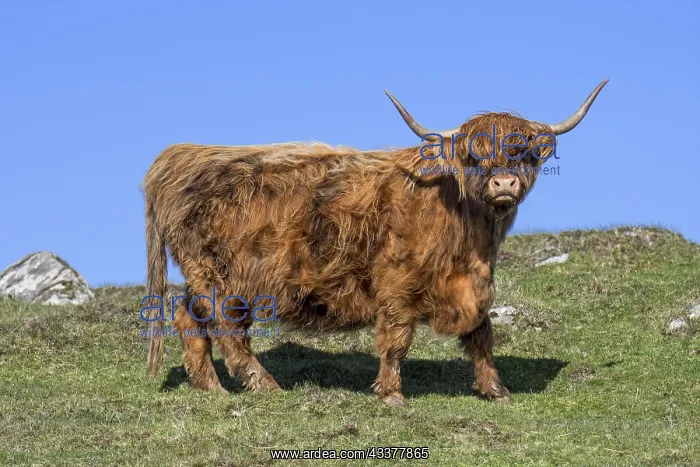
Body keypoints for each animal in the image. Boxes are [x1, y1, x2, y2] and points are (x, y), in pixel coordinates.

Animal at [143, 80, 608, 406]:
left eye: (523, 153)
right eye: (475, 156)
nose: (504, 183)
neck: (467, 232)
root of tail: (183, 156)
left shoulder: (477, 284)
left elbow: (481, 334)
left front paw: (495, 390)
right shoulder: (396, 284)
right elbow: (396, 340)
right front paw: (391, 394)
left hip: (202, 277)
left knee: (189, 319)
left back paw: (211, 388)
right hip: (222, 279)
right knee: (227, 330)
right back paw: (266, 387)